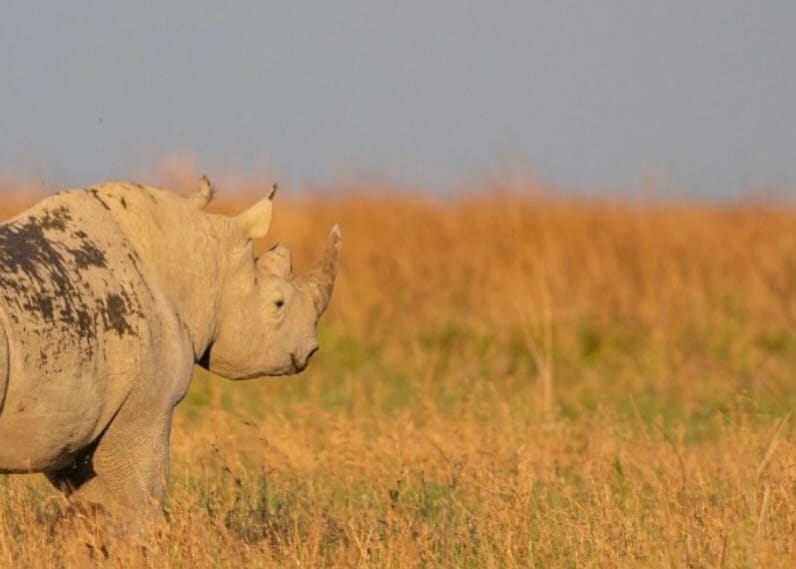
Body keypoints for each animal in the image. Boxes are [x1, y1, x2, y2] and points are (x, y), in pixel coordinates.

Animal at [0, 177, 341, 516]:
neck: (202, 262)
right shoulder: (146, 408)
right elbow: (138, 501)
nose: (311, 350)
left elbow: (93, 505)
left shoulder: (73, 429)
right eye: (278, 304)